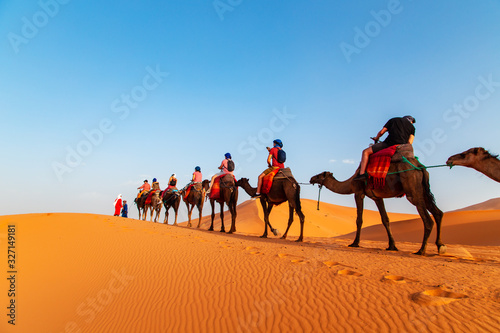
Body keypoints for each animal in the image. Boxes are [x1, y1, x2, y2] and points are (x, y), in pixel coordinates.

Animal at [308, 150, 446, 254]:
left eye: (320, 175)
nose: (311, 178)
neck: (350, 182)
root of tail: (421, 167)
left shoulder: (358, 192)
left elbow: (359, 220)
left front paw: (355, 243)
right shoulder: (377, 197)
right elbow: (385, 219)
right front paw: (392, 246)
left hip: (412, 189)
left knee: (427, 219)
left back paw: (421, 250)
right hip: (422, 189)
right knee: (438, 212)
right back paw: (440, 246)